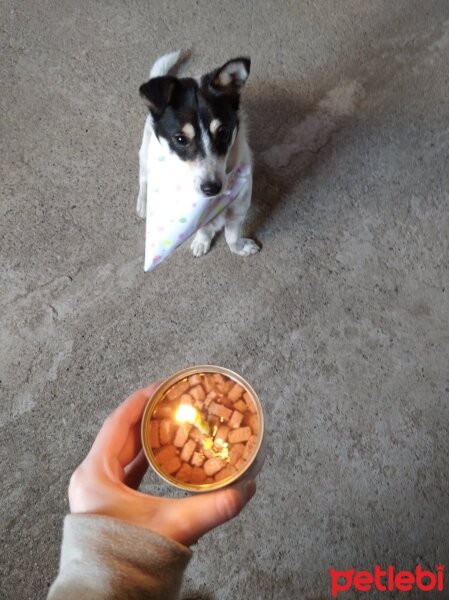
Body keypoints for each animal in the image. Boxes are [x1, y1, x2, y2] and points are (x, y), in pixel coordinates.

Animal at [136, 49, 260, 258]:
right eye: (180, 139)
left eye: (223, 132)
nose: (211, 188)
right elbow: (204, 229)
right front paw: (202, 242)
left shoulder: (238, 211)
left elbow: (232, 237)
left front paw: (240, 248)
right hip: (145, 153)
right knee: (144, 179)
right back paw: (144, 202)